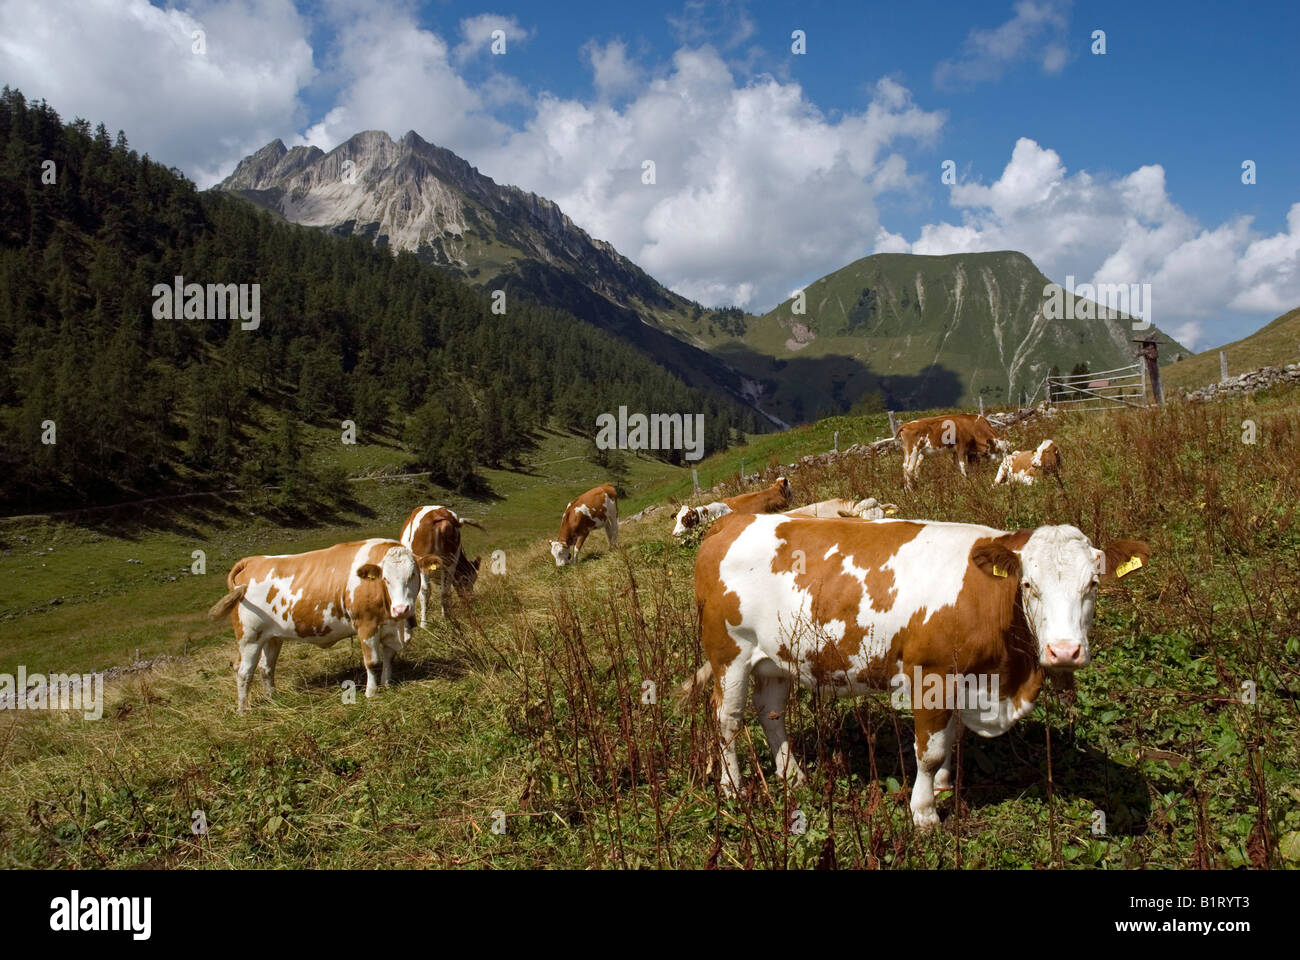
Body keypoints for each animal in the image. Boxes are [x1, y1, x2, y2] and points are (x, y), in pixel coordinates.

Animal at [205, 538, 434, 712]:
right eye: (385, 579)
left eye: (413, 574)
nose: (401, 609)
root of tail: (251, 561)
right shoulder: (366, 625)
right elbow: (373, 662)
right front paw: (372, 693)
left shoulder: (388, 628)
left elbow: (388, 658)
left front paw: (387, 684)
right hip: (249, 637)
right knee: (244, 672)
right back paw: (244, 710)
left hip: (271, 637)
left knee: (265, 668)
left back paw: (274, 699)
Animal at [686, 512, 1154, 827]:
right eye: (1028, 585)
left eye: (1093, 584)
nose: (1064, 652)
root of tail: (732, 519)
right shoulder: (932, 674)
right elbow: (927, 751)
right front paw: (924, 812)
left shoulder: (966, 680)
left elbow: (951, 738)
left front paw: (946, 784)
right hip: (729, 651)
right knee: (727, 719)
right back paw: (733, 787)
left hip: (774, 659)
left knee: (771, 715)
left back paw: (792, 777)